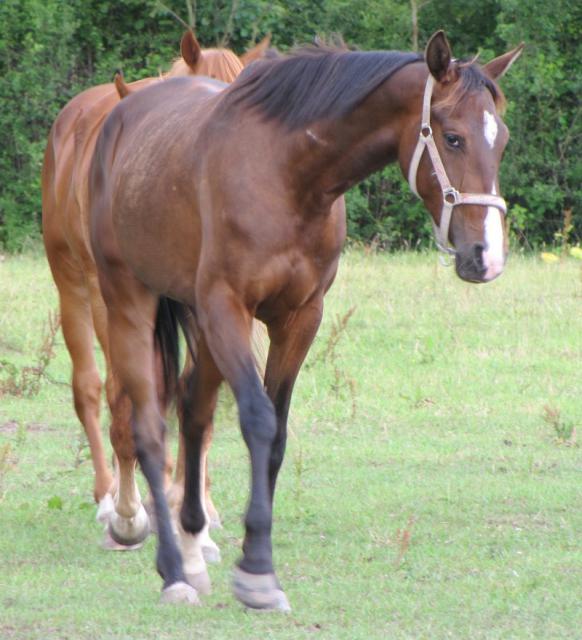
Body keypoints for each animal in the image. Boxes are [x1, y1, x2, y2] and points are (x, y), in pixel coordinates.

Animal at [42, 30, 270, 552]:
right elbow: (126, 394)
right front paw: (131, 512)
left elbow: (194, 395)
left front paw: (198, 506)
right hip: (73, 284)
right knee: (91, 388)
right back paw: (109, 496)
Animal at [90, 31, 524, 608]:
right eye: (452, 138)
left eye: (500, 142)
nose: (486, 257)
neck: (288, 174)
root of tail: (121, 114)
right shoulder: (229, 307)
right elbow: (256, 419)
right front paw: (258, 571)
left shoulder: (299, 318)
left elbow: (275, 435)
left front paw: (252, 565)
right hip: (130, 303)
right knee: (148, 427)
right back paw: (173, 571)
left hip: (201, 323)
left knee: (192, 409)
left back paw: (192, 547)